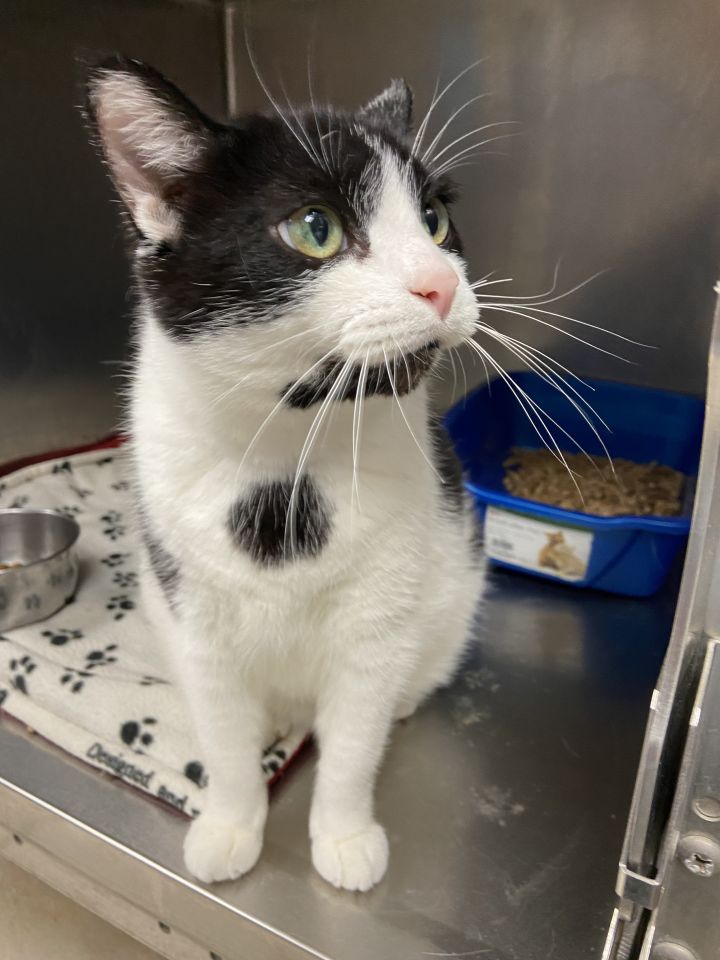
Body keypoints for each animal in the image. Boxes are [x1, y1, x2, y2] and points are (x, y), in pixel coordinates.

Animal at [87, 54, 486, 892]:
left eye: (434, 220)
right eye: (315, 229)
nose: (441, 283)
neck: (288, 459)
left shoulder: (377, 625)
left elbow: (354, 746)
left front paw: (343, 836)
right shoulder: (196, 620)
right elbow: (228, 746)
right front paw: (230, 826)